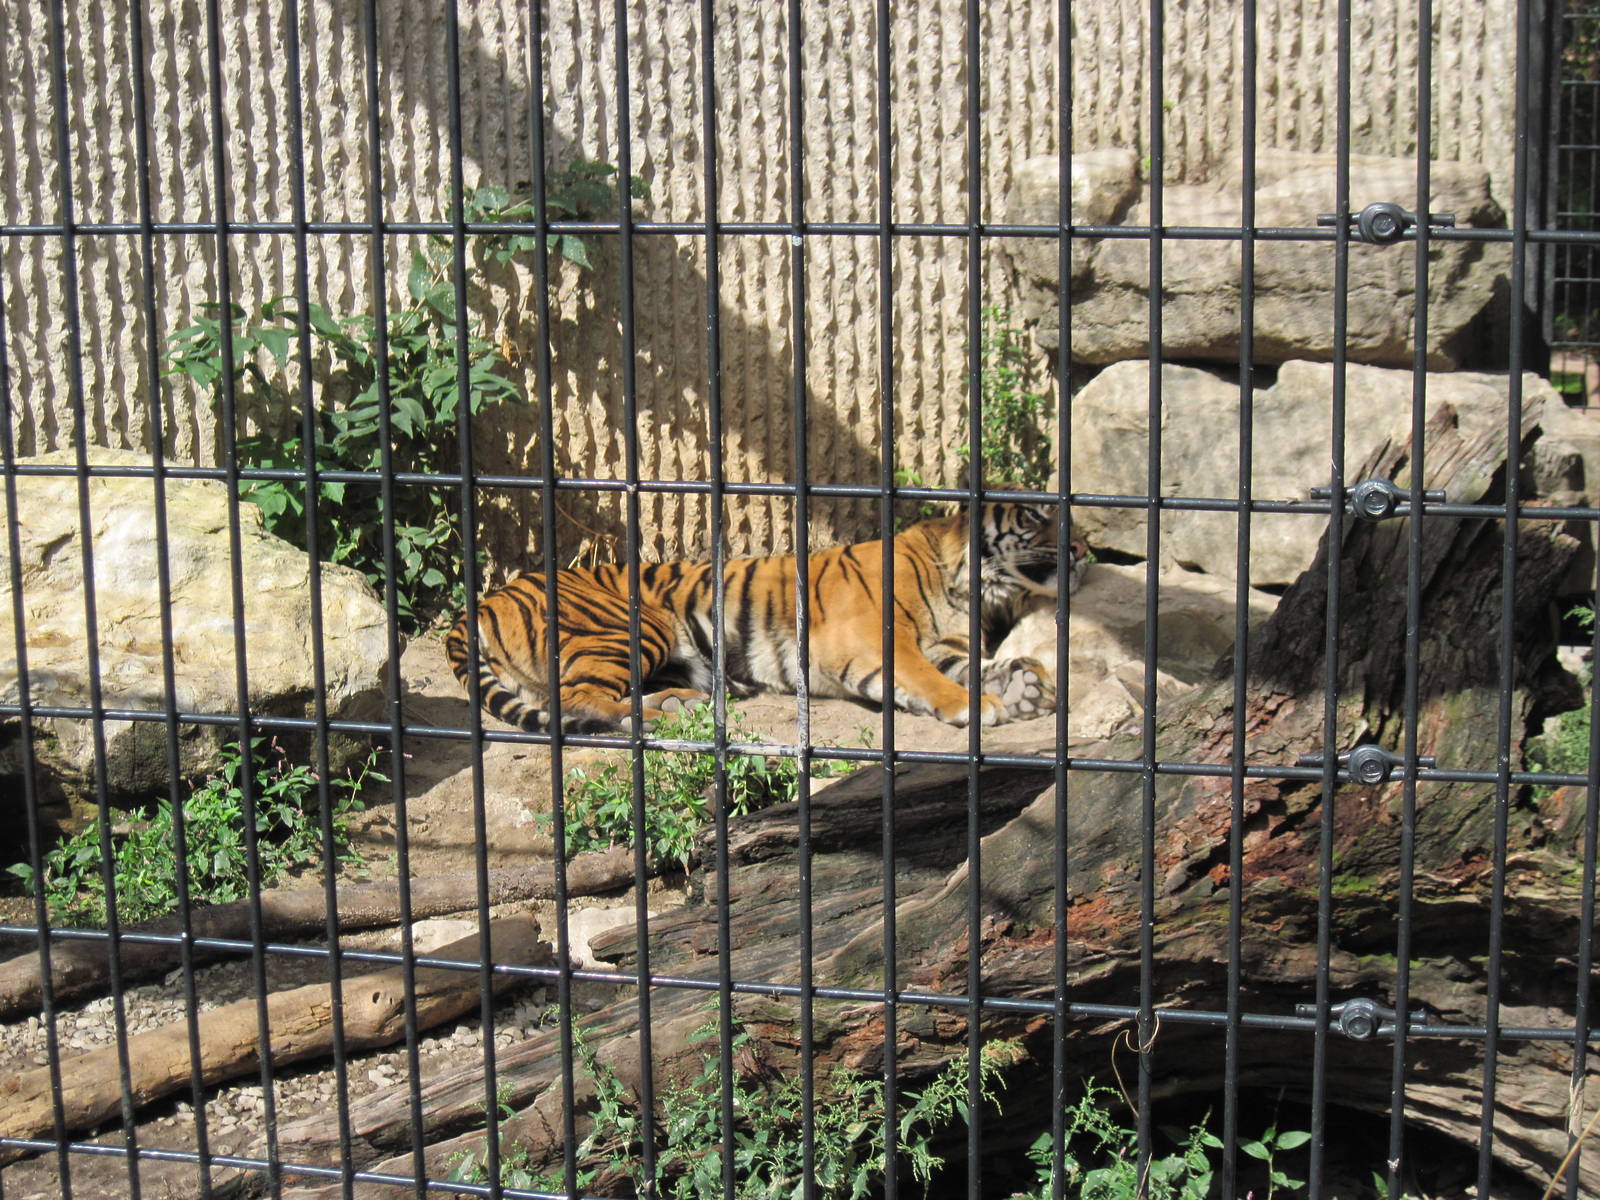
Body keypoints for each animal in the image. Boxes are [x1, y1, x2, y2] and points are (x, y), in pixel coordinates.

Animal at [445, 497, 1088, 733]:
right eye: (1036, 516)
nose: (1085, 549)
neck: (966, 585)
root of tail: (484, 600)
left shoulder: (945, 648)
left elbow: (981, 667)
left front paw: (1028, 686)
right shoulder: (876, 641)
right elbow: (928, 680)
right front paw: (979, 707)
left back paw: (684, 702)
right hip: (634, 624)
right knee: (576, 698)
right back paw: (658, 715)